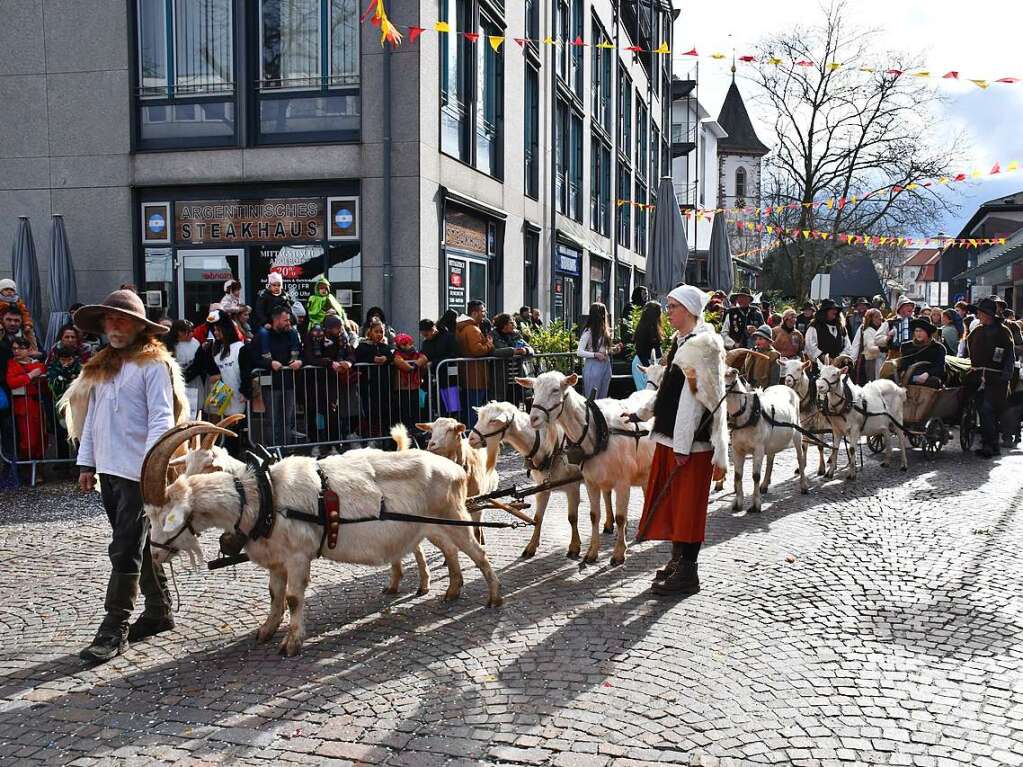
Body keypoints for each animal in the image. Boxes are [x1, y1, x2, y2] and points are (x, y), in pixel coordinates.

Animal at [142, 423, 501, 658]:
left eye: (164, 515)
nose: (154, 554)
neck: (265, 495)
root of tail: (455, 469)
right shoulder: (276, 559)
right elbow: (274, 595)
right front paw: (265, 631)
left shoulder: (298, 555)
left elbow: (292, 598)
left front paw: (291, 644)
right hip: (431, 527)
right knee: (451, 551)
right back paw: (451, 591)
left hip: (454, 517)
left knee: (478, 551)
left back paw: (494, 598)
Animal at [466, 402, 585, 560]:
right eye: (479, 417)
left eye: (493, 421)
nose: (471, 439)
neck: (549, 446)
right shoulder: (542, 486)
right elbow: (538, 518)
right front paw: (531, 547)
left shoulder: (572, 486)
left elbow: (572, 517)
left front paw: (574, 547)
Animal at [519, 372, 654, 564]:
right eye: (534, 390)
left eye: (555, 390)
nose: (533, 419)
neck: (598, 432)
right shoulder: (591, 481)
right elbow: (593, 515)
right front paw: (592, 552)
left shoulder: (623, 482)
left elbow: (621, 518)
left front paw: (619, 553)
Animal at [720, 370, 806, 513]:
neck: (747, 414)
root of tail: (786, 387)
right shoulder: (737, 449)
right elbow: (738, 475)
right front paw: (738, 503)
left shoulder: (758, 449)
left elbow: (755, 476)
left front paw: (756, 505)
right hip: (772, 441)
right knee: (771, 459)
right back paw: (765, 485)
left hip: (797, 433)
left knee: (800, 457)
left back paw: (804, 485)